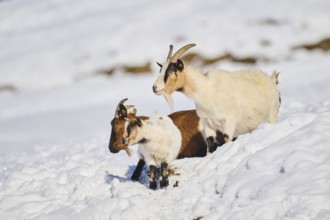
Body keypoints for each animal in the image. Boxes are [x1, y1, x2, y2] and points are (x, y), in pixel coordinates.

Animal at [153, 43, 282, 152]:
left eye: (170, 72)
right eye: (161, 70)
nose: (154, 87)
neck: (206, 90)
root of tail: (272, 80)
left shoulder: (229, 122)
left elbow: (226, 140)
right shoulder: (207, 123)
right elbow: (210, 145)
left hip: (272, 115)